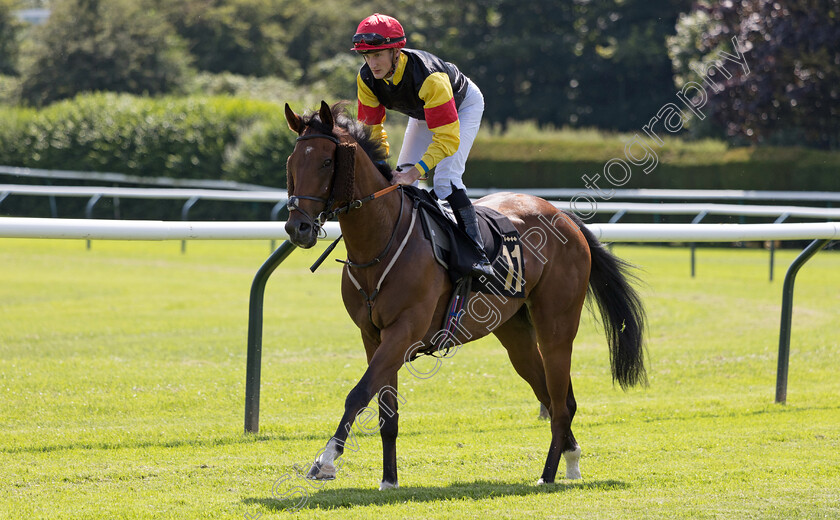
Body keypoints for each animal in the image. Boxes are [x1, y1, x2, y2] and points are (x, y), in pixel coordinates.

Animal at [286, 100, 648, 488]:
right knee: (552, 398)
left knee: (561, 401)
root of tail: (565, 217)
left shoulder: (405, 330)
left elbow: (358, 393)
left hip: (557, 326)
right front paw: (389, 480)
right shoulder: (373, 335)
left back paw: (548, 475)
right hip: (515, 332)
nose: (298, 227)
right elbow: (386, 411)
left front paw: (326, 460)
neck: (380, 241)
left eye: (326, 162)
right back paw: (572, 460)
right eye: (292, 163)